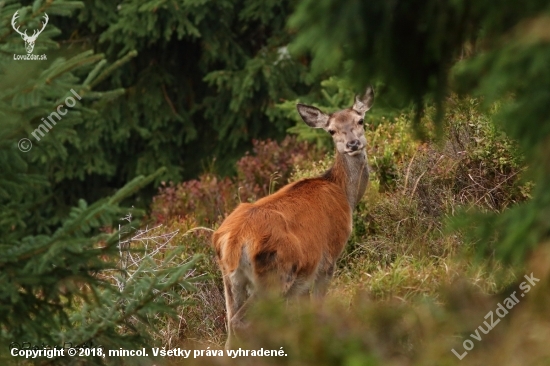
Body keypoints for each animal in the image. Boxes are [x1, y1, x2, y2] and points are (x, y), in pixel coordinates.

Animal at [211, 86, 376, 348]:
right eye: (331, 130)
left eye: (360, 120)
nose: (353, 144)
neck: (345, 194)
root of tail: (233, 240)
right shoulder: (328, 257)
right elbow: (318, 307)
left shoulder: (301, 281)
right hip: (275, 273)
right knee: (239, 321)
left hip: (230, 279)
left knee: (229, 325)